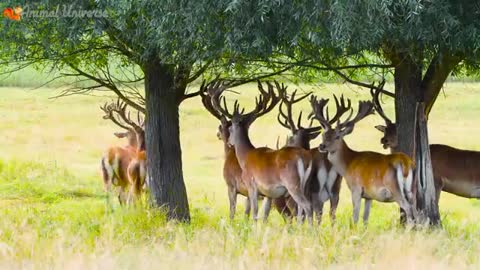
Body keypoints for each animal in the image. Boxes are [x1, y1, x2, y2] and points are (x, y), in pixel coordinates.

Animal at [210, 80, 316, 224]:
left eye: (230, 128)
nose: (229, 142)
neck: (245, 157)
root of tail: (304, 158)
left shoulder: (251, 186)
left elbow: (253, 213)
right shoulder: (268, 194)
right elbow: (264, 216)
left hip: (292, 183)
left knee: (306, 206)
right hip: (305, 185)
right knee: (301, 210)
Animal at [276, 90, 344, 224]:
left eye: (290, 138)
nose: (284, 147)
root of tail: (327, 163)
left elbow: (300, 214)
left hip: (313, 191)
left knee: (314, 213)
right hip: (336, 189)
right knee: (331, 214)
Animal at [312, 95, 416, 224]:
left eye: (337, 137)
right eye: (323, 135)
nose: (322, 146)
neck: (348, 164)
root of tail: (406, 163)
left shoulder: (356, 188)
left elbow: (355, 217)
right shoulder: (369, 196)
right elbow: (366, 218)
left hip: (394, 187)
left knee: (408, 208)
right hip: (412, 189)